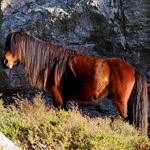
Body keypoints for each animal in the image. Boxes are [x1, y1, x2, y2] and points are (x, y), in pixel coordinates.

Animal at [2, 27, 148, 136]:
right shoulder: (61, 95)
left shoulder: (57, 92)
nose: (5, 62)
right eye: (6, 44)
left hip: (121, 103)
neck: (51, 62)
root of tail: (133, 70)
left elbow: (59, 111)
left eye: (16, 46)